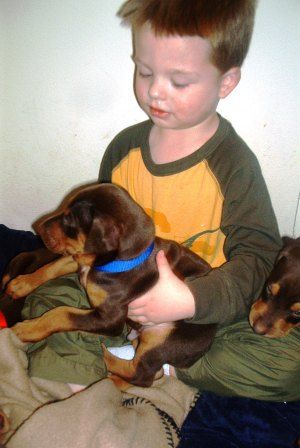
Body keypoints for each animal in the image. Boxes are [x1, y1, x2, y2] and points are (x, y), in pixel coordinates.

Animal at [6, 184, 216, 386]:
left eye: (69, 219)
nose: (38, 227)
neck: (116, 262)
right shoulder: (81, 259)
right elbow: (50, 267)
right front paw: (21, 284)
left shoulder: (110, 319)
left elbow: (62, 313)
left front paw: (27, 329)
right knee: (153, 373)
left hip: (165, 335)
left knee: (141, 375)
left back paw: (105, 356)